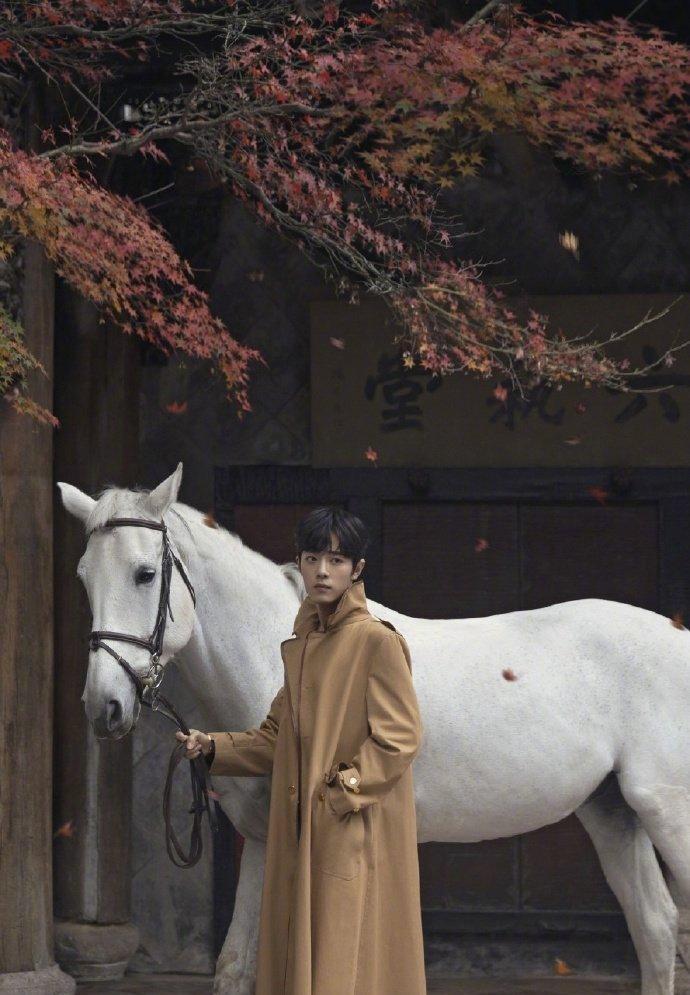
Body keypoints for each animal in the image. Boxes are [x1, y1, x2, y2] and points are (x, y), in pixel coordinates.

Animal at [58, 462, 690, 995]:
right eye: (83, 578)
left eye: (144, 574)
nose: (102, 706)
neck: (279, 658)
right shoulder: (262, 840)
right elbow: (235, 967)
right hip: (613, 812)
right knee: (657, 931)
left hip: (666, 812)